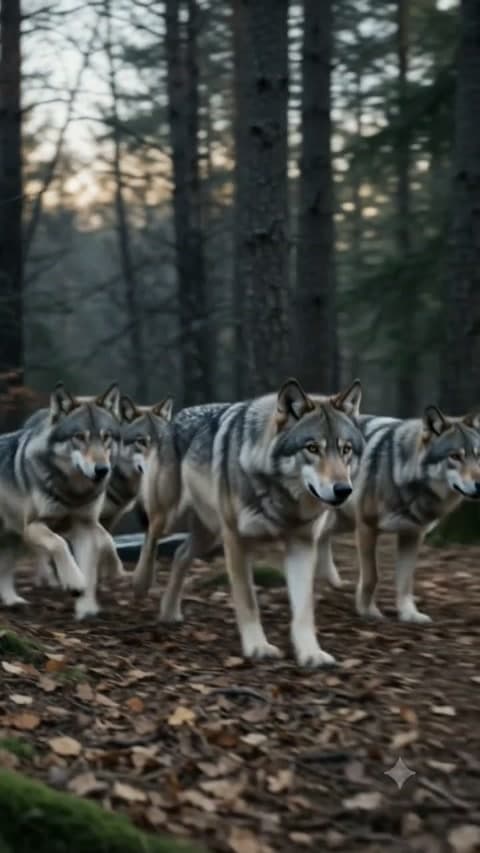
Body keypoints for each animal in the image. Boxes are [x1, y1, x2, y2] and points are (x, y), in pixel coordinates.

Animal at [1, 382, 123, 619]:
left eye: (106, 436)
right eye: (79, 436)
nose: (102, 470)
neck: (73, 492)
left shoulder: (85, 527)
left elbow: (90, 570)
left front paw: (86, 609)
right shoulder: (33, 526)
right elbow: (59, 544)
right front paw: (74, 582)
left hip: (15, 538)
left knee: (5, 571)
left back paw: (13, 601)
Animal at [133, 378, 363, 667]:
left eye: (346, 449)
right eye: (312, 448)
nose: (344, 490)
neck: (281, 497)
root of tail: (176, 418)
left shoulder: (302, 545)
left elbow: (303, 609)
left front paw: (310, 652)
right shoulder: (236, 541)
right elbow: (248, 600)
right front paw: (258, 647)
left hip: (208, 535)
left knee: (180, 554)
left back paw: (169, 612)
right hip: (170, 516)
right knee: (151, 536)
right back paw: (141, 582)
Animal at [314, 406, 480, 624]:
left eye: (478, 456)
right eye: (455, 456)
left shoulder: (412, 535)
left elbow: (405, 580)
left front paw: (409, 614)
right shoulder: (367, 527)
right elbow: (371, 576)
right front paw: (368, 611)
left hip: (345, 521)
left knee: (322, 536)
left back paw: (332, 581)